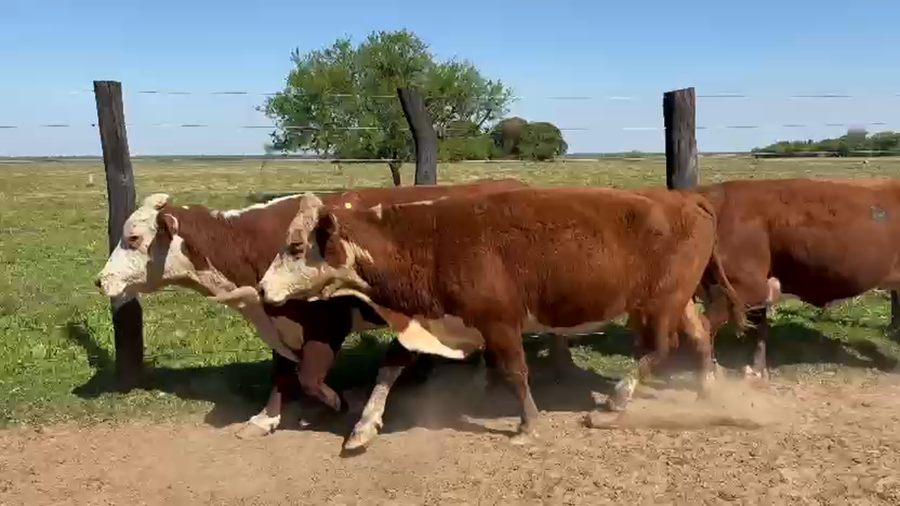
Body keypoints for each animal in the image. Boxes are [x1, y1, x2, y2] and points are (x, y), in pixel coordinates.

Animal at [93, 177, 535, 439]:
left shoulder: (326, 323)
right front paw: (265, 419)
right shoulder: (279, 322)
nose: (100, 280)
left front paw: (339, 404)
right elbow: (281, 373)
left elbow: (308, 377)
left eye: (133, 238)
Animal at [254, 186, 744, 450]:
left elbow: (515, 371)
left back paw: (616, 402)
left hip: (660, 302)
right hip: (677, 300)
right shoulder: (431, 321)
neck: (431, 243)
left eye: (295, 247)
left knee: (661, 348)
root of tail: (687, 198)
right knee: (699, 336)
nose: (260, 289)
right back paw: (707, 390)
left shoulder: (500, 322)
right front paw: (362, 427)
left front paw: (528, 424)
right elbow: (390, 367)